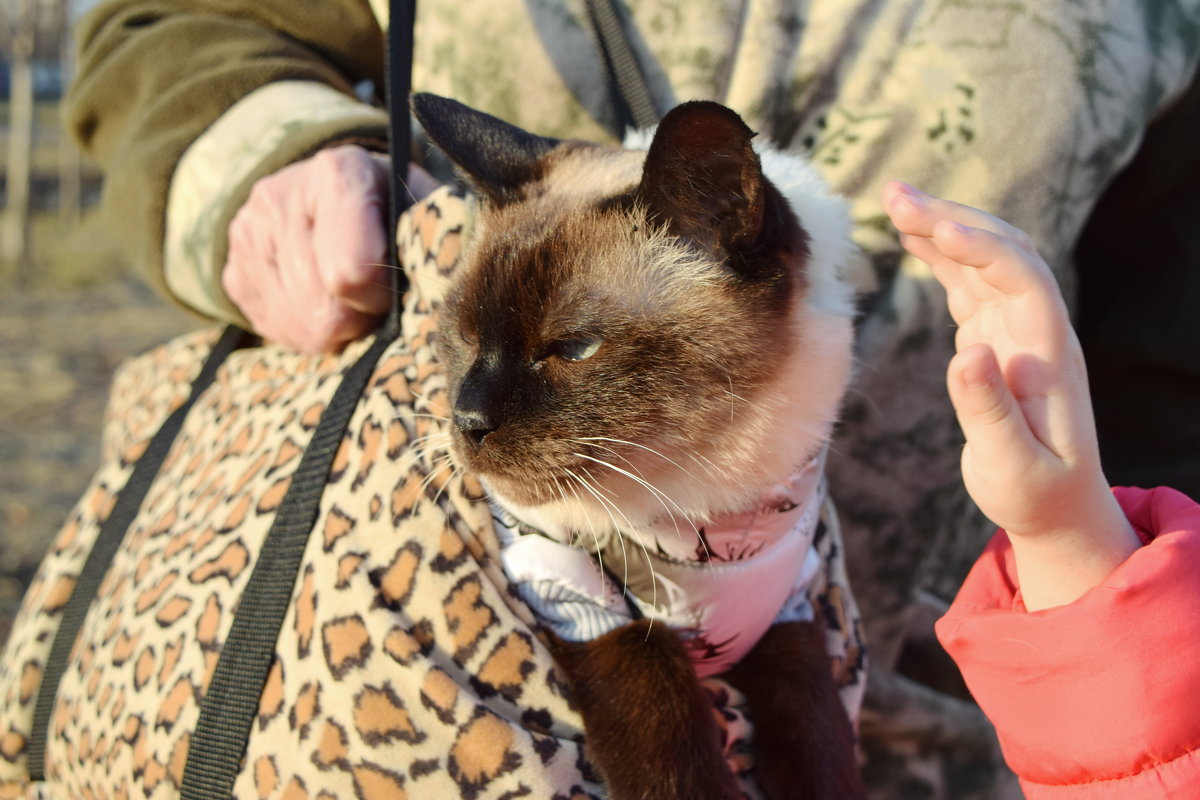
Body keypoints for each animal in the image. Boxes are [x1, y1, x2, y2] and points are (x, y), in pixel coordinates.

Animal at [410, 94, 864, 800]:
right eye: (463, 335)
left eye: (573, 349)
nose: (468, 421)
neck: (714, 504)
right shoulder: (576, 595)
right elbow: (673, 757)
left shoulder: (790, 599)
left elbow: (816, 735)